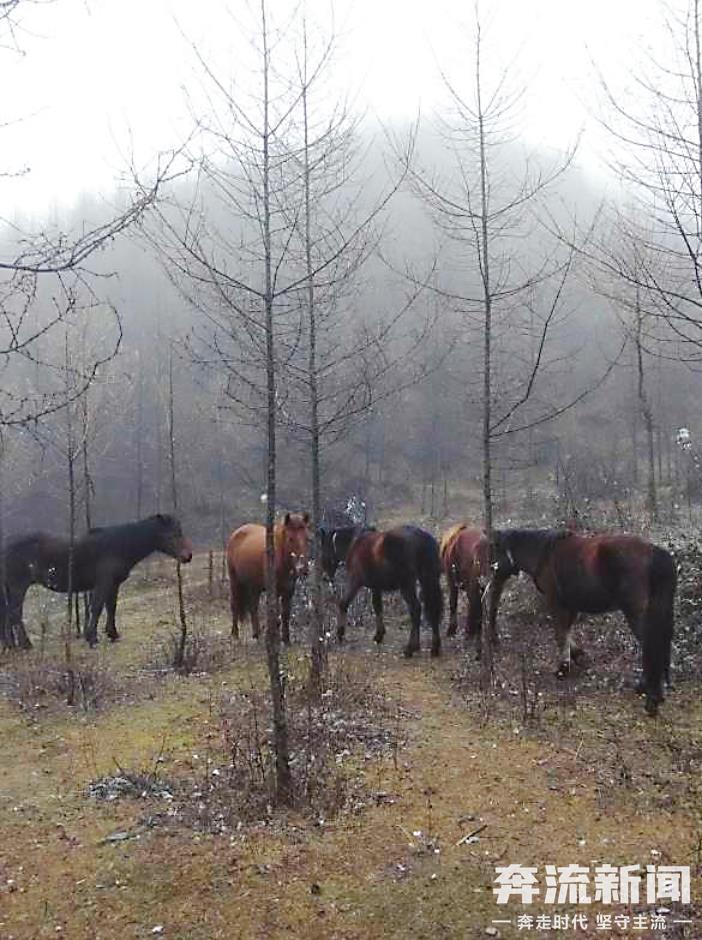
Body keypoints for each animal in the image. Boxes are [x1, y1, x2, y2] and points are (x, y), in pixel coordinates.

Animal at [0, 514, 193, 649]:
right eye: (172, 534)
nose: (187, 556)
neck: (118, 544)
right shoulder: (104, 583)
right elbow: (98, 607)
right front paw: (92, 638)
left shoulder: (113, 584)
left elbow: (111, 607)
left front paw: (112, 634)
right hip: (18, 586)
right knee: (15, 614)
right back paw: (26, 645)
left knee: (8, 616)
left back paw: (11, 645)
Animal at [226, 512, 311, 644]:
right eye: (290, 539)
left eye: (307, 538)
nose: (303, 568)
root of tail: (236, 533)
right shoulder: (274, 591)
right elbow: (275, 616)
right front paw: (275, 639)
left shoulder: (289, 590)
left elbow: (285, 615)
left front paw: (286, 640)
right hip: (235, 582)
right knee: (234, 605)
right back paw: (235, 634)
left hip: (254, 587)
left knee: (253, 608)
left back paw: (256, 635)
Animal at [337, 525, 443, 658]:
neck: (356, 543)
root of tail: (421, 537)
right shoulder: (376, 587)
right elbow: (377, 607)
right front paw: (379, 634)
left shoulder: (354, 582)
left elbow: (343, 603)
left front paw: (340, 633)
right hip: (428, 580)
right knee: (433, 609)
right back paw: (434, 647)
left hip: (407, 586)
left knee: (416, 609)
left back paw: (410, 648)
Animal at [490, 528, 677, 717]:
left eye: (494, 551)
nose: (491, 579)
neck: (544, 553)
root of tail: (653, 552)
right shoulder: (571, 605)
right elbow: (567, 631)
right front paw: (576, 654)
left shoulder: (555, 602)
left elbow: (560, 633)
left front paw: (563, 668)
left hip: (635, 613)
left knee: (650, 645)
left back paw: (651, 697)